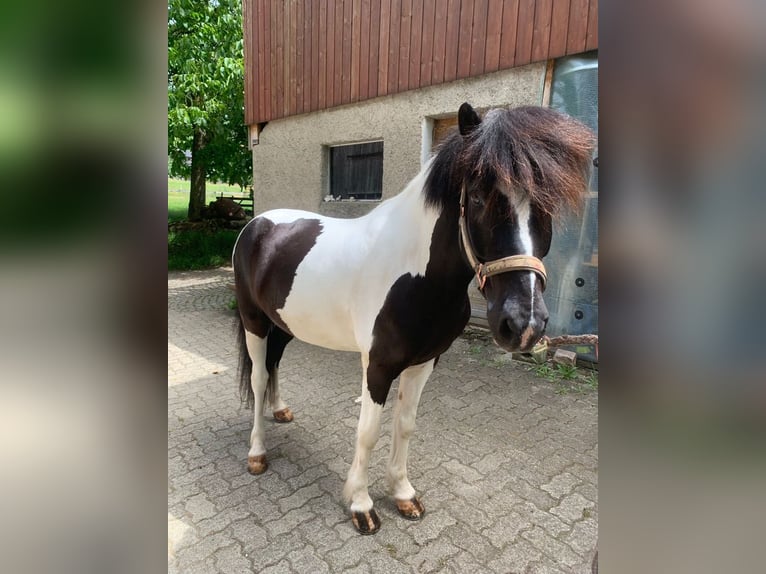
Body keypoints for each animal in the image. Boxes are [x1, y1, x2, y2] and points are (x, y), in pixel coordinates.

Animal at [232, 103, 595, 535]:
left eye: (546, 206)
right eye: (477, 197)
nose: (523, 324)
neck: (418, 277)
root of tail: (258, 224)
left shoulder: (425, 362)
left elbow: (405, 424)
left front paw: (403, 494)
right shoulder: (378, 365)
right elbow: (368, 431)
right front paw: (361, 504)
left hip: (285, 325)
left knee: (274, 364)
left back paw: (281, 410)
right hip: (254, 321)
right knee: (258, 376)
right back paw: (256, 452)